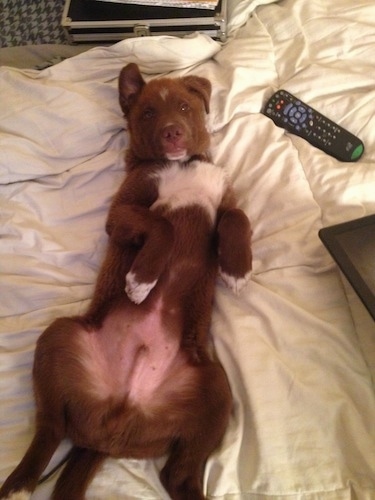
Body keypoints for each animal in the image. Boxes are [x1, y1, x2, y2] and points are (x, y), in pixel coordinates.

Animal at [0, 62, 253, 500]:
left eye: (184, 106)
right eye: (148, 112)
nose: (172, 133)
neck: (182, 164)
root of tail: (112, 427)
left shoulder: (224, 200)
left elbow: (238, 217)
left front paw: (237, 269)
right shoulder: (121, 213)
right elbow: (162, 225)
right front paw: (140, 280)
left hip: (216, 390)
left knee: (177, 474)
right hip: (59, 337)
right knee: (50, 426)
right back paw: (18, 485)